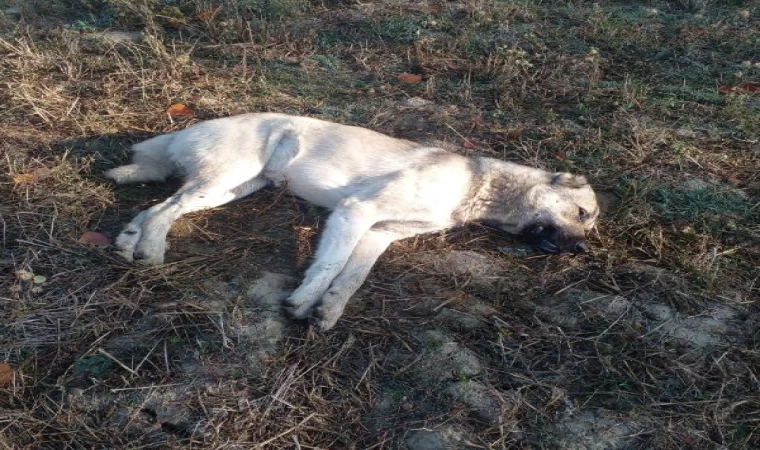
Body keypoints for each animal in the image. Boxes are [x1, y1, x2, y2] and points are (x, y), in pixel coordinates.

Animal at [105, 113, 600, 330]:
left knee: (157, 206)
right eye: (582, 214)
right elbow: (328, 266)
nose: (581, 250)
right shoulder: (355, 213)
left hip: (233, 187)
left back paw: (129, 241)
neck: (475, 186)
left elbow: (352, 277)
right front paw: (304, 301)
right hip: (227, 178)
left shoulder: (379, 234)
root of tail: (186, 129)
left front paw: (329, 309)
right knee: (164, 211)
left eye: (589, 226)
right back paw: (150, 249)